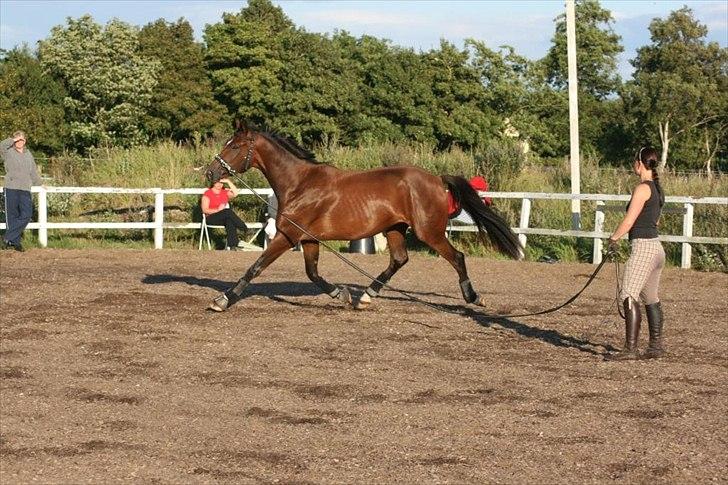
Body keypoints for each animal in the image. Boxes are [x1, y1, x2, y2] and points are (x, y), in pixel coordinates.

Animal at [205, 123, 524, 312]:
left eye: (234, 146)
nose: (210, 172)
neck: (300, 184)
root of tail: (437, 179)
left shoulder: (288, 235)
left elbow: (256, 267)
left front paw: (223, 299)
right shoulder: (308, 239)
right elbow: (313, 274)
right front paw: (342, 294)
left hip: (429, 232)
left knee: (456, 257)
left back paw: (473, 297)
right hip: (395, 228)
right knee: (399, 259)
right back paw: (367, 295)